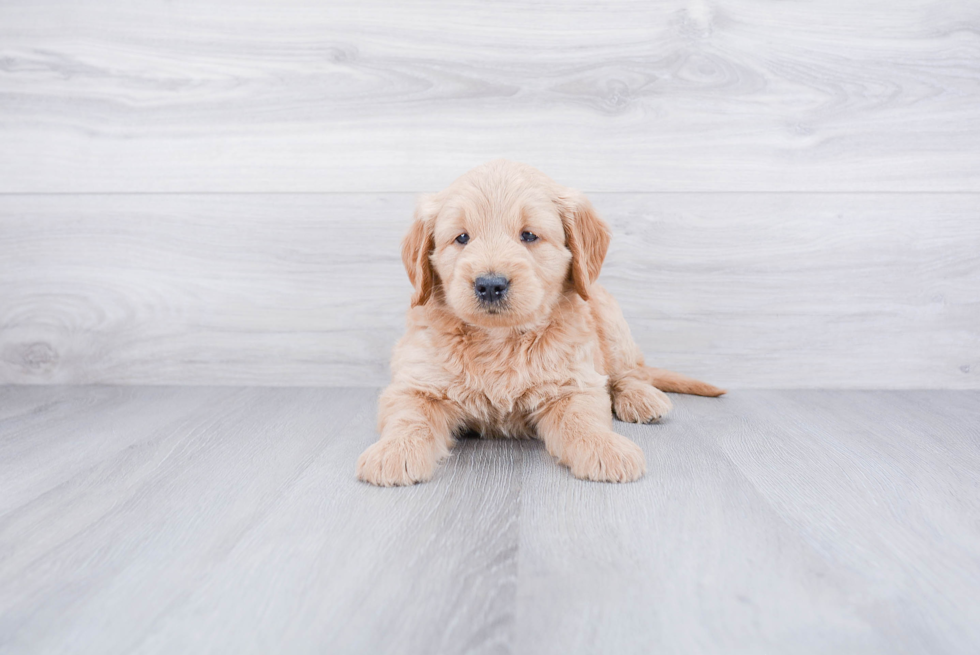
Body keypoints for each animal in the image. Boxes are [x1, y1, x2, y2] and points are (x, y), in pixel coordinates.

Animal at [356, 160, 724, 486]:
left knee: (631, 371)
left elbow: (582, 418)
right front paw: (394, 451)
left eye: (529, 236)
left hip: (609, 317)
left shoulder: (574, 382)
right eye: (461, 238)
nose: (490, 285)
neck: (499, 339)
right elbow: (410, 416)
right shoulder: (416, 381)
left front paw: (605, 447)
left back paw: (641, 397)